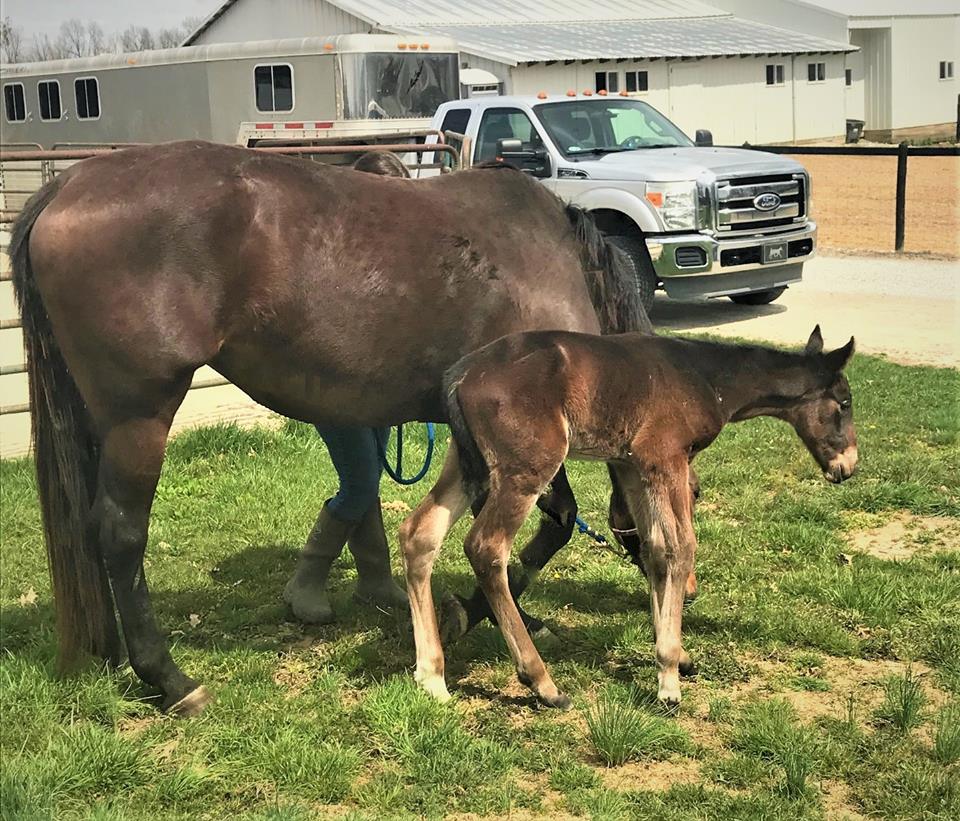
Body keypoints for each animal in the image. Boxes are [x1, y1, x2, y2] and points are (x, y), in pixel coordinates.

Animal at [10, 141, 648, 715]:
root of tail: (67, 186)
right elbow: (551, 522)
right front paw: (476, 617)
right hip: (139, 417)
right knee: (119, 534)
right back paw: (170, 679)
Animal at [399, 326, 857, 708]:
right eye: (845, 403)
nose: (848, 466)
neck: (707, 377)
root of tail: (460, 376)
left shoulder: (633, 466)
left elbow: (654, 548)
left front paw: (677, 654)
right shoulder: (666, 458)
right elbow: (681, 547)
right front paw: (668, 677)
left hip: (467, 463)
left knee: (419, 533)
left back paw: (432, 677)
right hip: (527, 466)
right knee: (486, 547)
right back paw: (542, 682)